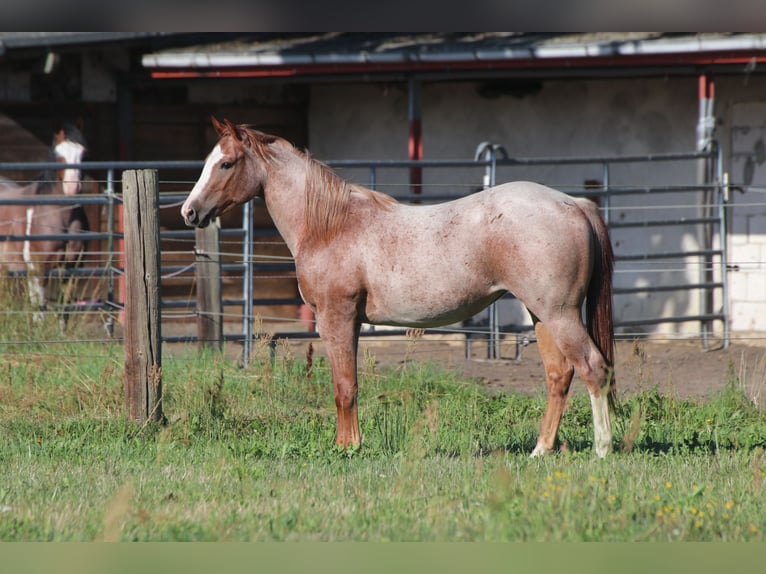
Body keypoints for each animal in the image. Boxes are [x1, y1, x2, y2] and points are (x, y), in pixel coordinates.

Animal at [0, 128, 90, 316]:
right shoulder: (39, 269)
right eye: (58, 155)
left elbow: (65, 309)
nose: (72, 187)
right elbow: (39, 310)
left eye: (84, 154)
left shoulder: (72, 269)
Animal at [181, 117, 617, 457]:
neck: (330, 226)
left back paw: (602, 449)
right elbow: (348, 383)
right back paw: (540, 450)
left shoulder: (336, 318)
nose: (190, 212)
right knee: (560, 375)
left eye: (226, 163)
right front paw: (350, 443)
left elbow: (344, 386)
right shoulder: (351, 322)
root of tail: (575, 205)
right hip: (541, 315)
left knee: (593, 369)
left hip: (559, 314)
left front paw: (347, 448)